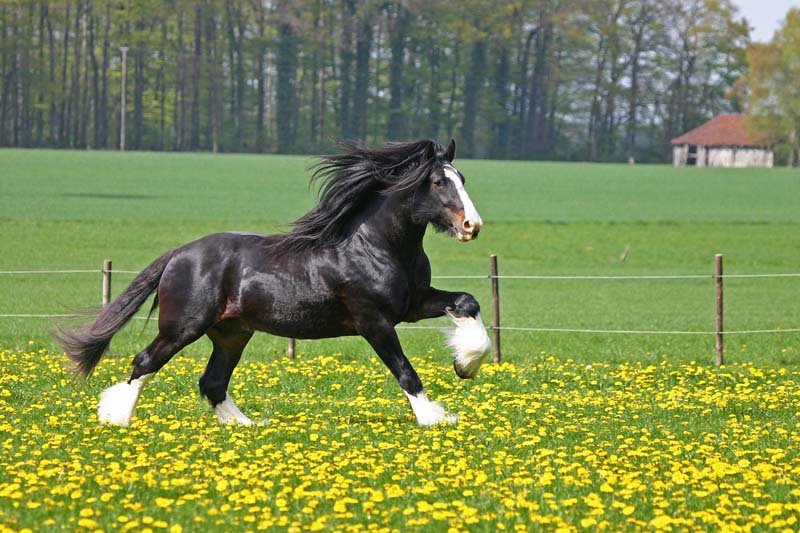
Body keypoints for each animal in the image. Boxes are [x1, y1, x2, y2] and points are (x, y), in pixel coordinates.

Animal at [53, 139, 490, 426]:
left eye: (463, 178)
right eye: (438, 182)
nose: (472, 226)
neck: (375, 245)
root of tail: (178, 254)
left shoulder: (413, 304)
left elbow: (467, 302)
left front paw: (465, 364)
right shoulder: (374, 321)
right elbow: (404, 370)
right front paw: (434, 417)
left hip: (232, 333)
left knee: (212, 382)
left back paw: (247, 426)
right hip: (183, 327)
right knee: (144, 362)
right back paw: (115, 417)